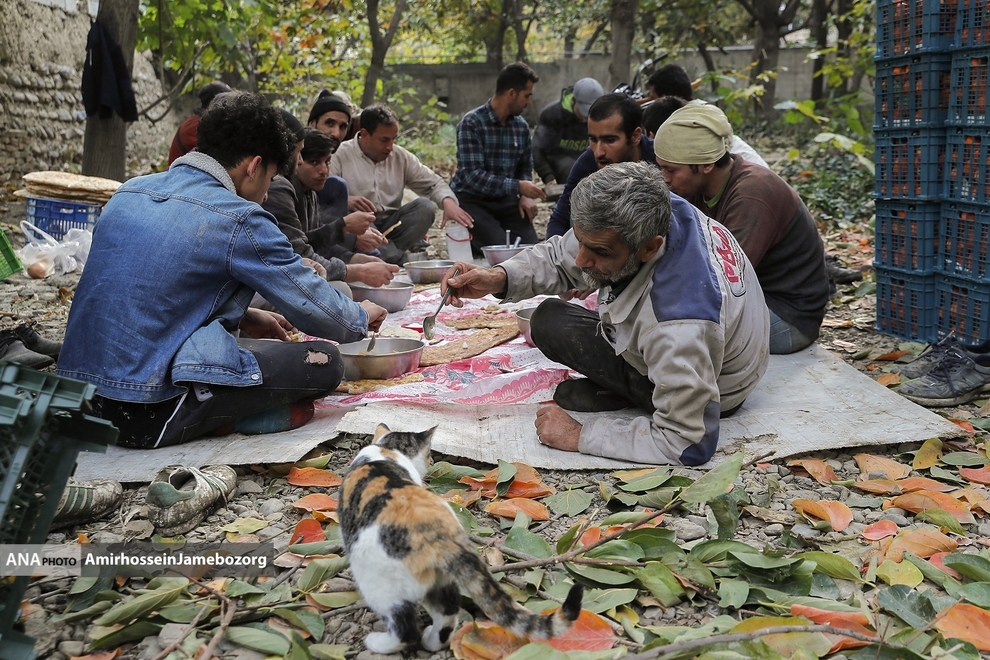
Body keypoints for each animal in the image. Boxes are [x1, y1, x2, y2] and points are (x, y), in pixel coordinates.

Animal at [340, 426, 580, 652]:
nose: (431, 460)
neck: (387, 451)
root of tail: (438, 533)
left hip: (380, 582)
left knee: (405, 629)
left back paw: (379, 643)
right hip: (443, 579)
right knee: (447, 615)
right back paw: (431, 641)